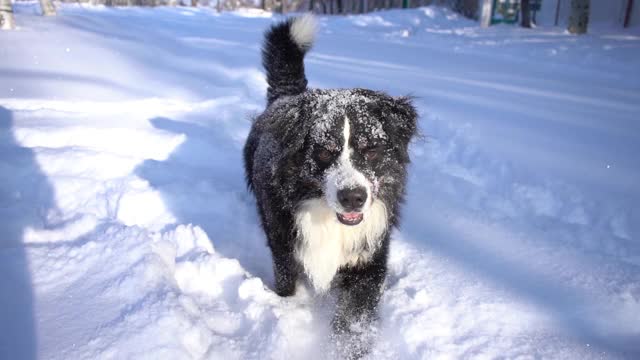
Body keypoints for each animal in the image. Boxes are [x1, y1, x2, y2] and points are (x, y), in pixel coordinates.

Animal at [242, 14, 418, 352]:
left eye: (371, 150)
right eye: (324, 152)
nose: (353, 197)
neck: (327, 218)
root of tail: (287, 95)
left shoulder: (369, 259)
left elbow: (353, 322)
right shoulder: (284, 246)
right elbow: (287, 283)